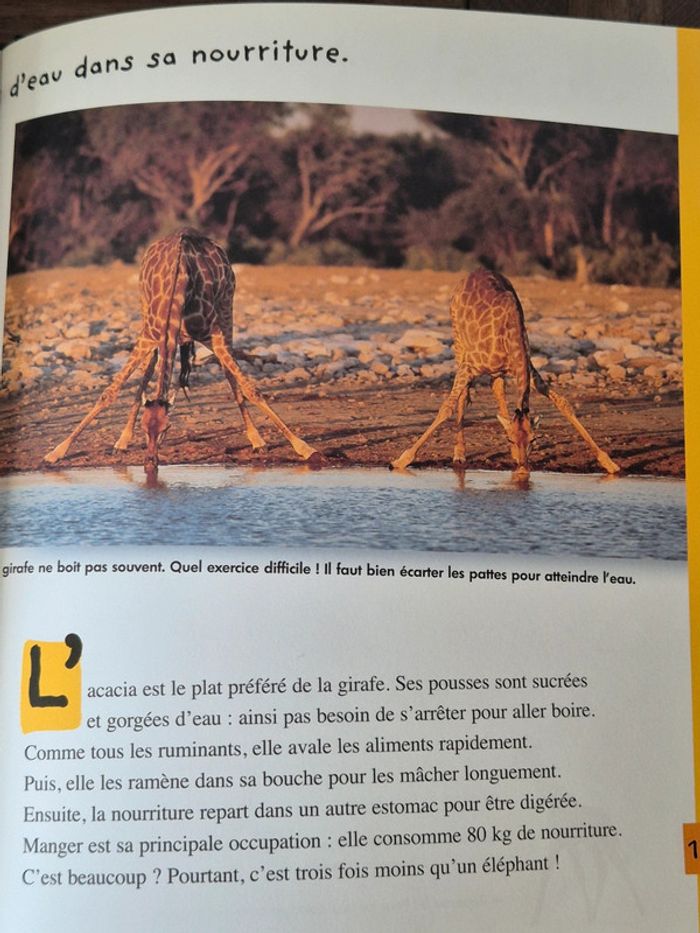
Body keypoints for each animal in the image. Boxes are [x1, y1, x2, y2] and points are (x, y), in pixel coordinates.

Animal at [44, 229, 318, 472]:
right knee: (149, 369)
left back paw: (257, 440)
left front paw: (304, 447)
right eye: (144, 428)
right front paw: (56, 452)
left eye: (166, 429)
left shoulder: (213, 335)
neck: (178, 288)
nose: (150, 463)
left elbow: (252, 389)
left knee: (230, 374)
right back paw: (121, 441)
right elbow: (109, 393)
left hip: (226, 308)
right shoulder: (149, 335)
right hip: (145, 312)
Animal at [391, 268, 620, 476]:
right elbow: (446, 407)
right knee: (464, 396)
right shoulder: (470, 366)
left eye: (534, 439)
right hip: (459, 342)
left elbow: (563, 403)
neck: (510, 339)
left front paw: (609, 463)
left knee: (497, 389)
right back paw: (459, 454)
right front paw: (402, 460)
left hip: (494, 369)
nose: (523, 466)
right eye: (510, 439)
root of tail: (471, 273)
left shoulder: (527, 367)